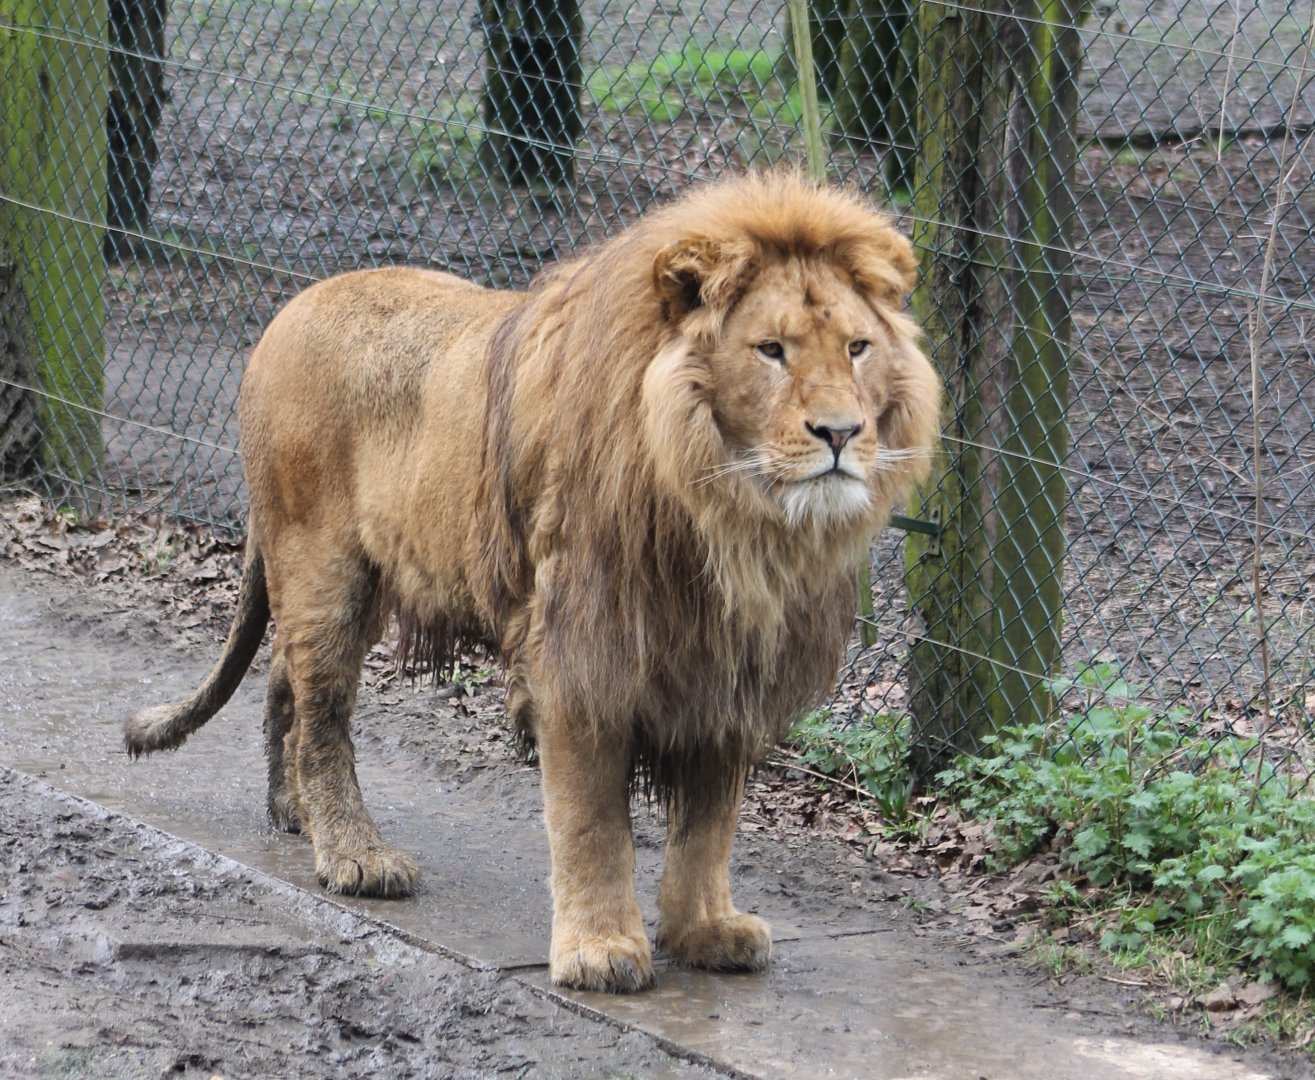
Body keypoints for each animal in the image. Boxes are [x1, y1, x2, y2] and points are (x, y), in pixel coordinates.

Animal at [124, 171, 942, 993]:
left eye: (857, 348)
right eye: (771, 351)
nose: (841, 433)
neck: (731, 517)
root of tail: (290, 307)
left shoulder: (724, 664)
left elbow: (711, 820)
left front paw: (705, 930)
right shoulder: (582, 648)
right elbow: (591, 818)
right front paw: (601, 950)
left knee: (283, 687)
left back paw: (290, 811)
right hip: (324, 566)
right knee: (322, 715)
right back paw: (355, 855)